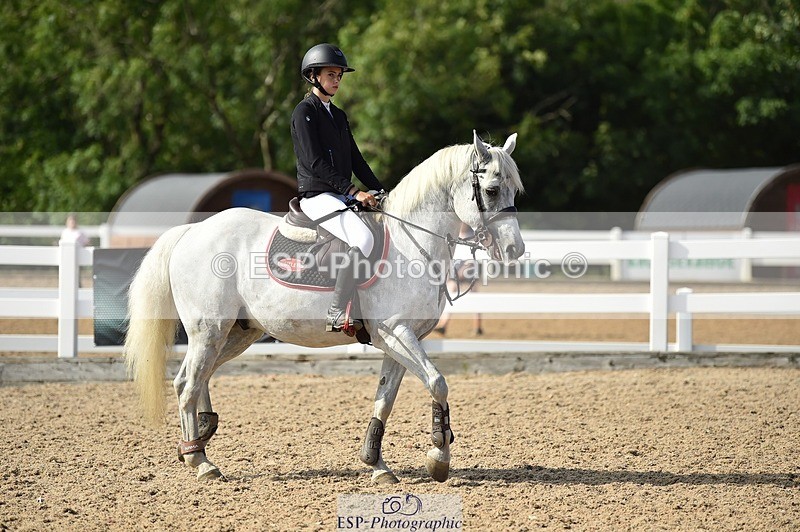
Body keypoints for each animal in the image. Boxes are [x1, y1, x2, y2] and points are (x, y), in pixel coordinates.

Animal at [124, 131, 525, 483]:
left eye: (514, 190)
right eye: (491, 190)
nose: (515, 250)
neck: (411, 244)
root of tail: (191, 231)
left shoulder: (400, 340)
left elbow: (386, 399)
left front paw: (377, 464)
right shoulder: (395, 332)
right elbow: (438, 383)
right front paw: (438, 457)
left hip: (237, 333)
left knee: (198, 377)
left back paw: (200, 439)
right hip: (208, 330)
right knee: (187, 383)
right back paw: (200, 461)